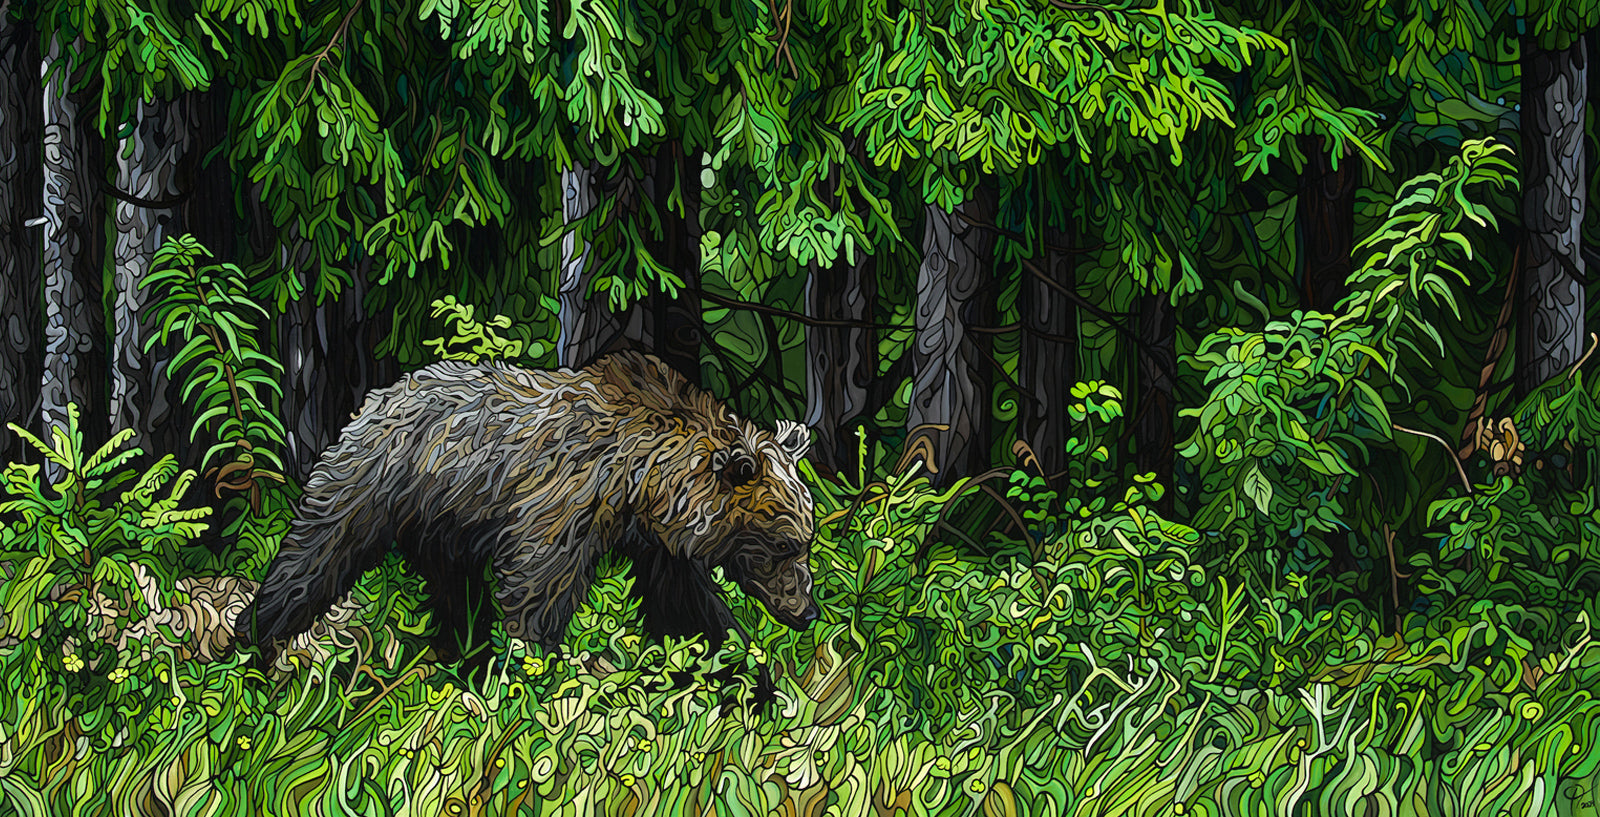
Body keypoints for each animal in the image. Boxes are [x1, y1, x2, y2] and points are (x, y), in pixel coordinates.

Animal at [238, 351, 819, 690]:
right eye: (784, 545)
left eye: (806, 540)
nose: (808, 611)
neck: (642, 480)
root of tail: (382, 393)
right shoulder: (565, 501)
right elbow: (538, 589)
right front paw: (538, 676)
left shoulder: (655, 542)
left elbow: (691, 611)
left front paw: (751, 682)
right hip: (377, 481)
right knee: (318, 553)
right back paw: (263, 642)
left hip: (445, 526)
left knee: (458, 598)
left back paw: (460, 663)